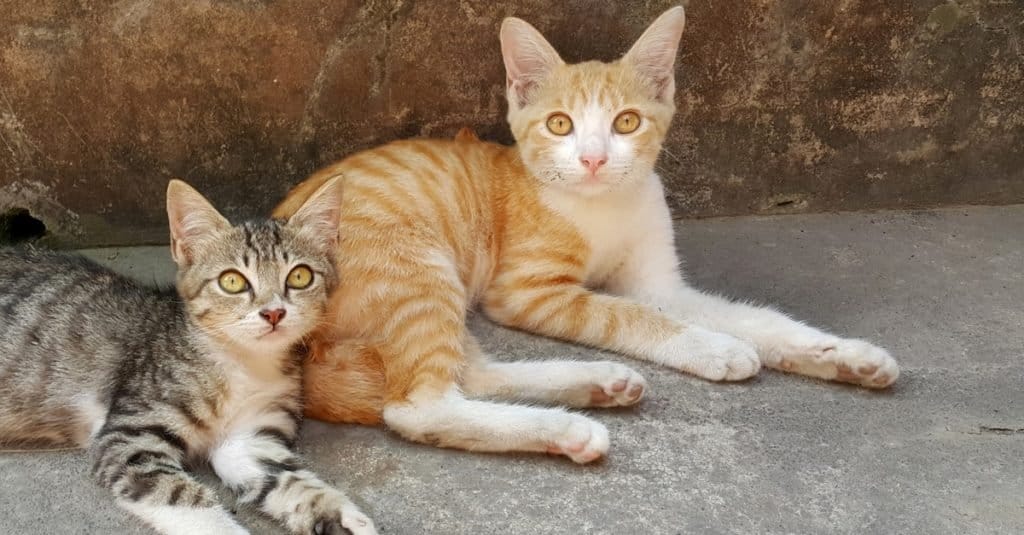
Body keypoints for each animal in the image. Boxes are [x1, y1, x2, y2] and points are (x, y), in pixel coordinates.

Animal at [0, 179, 378, 532]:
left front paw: (343, 518)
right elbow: (185, 501)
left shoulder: (248, 441)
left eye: (300, 276)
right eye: (232, 282)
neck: (243, 364)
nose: (273, 313)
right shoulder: (128, 438)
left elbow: (294, 484)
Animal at [272, 6, 897, 459]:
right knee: (417, 405)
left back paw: (595, 383)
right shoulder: (527, 292)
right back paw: (565, 429)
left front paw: (839, 352)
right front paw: (713, 347)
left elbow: (743, 315)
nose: (594, 159)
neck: (603, 206)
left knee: (467, 372)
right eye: (559, 124)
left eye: (627, 122)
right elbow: (630, 315)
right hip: (417, 270)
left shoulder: (657, 282)